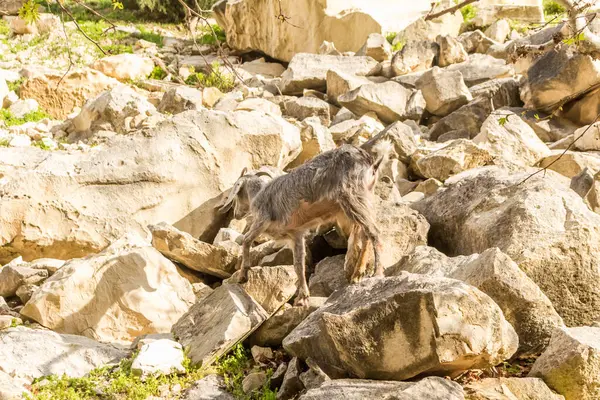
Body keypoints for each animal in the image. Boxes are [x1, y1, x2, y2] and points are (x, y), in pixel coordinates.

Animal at [218, 142, 392, 304]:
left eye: (236, 194)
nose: (236, 214)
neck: (258, 194)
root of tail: (370, 162)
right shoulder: (296, 234)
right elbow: (298, 264)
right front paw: (303, 297)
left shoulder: (262, 220)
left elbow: (247, 240)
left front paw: (243, 275)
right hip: (362, 200)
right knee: (366, 233)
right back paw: (357, 274)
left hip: (353, 197)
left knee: (374, 232)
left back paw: (376, 272)